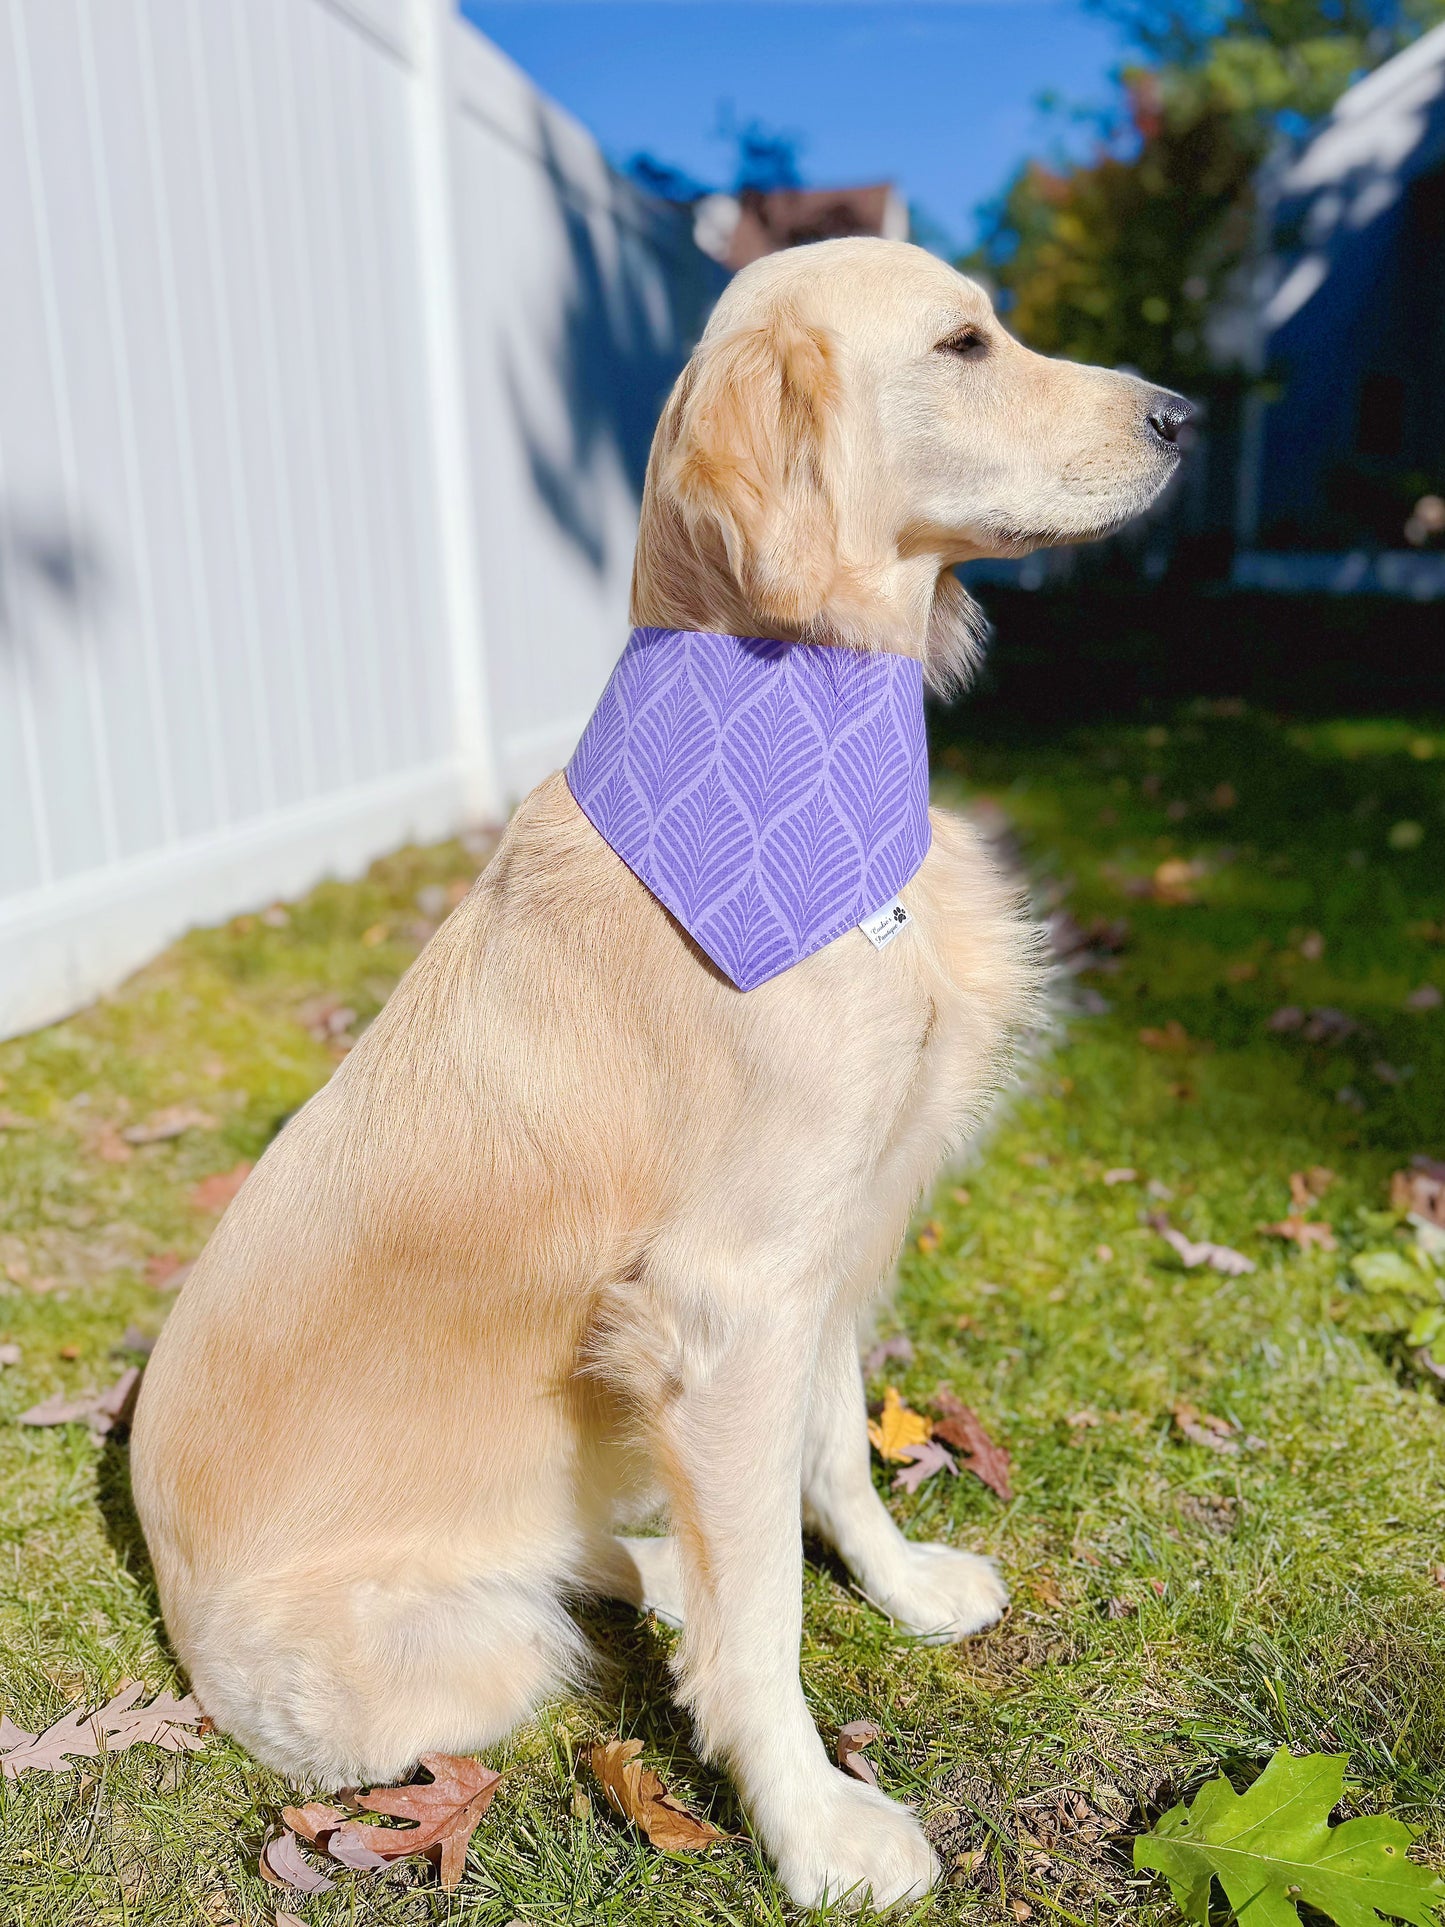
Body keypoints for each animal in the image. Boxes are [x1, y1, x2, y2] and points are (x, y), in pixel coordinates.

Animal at [130, 233, 1194, 1903]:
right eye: (963, 344)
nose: (1183, 418)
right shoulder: (730, 1293)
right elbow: (768, 1611)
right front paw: (815, 1821)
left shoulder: (820, 1252)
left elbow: (835, 1459)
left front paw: (897, 1583)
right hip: (458, 1662)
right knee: (579, 1594)